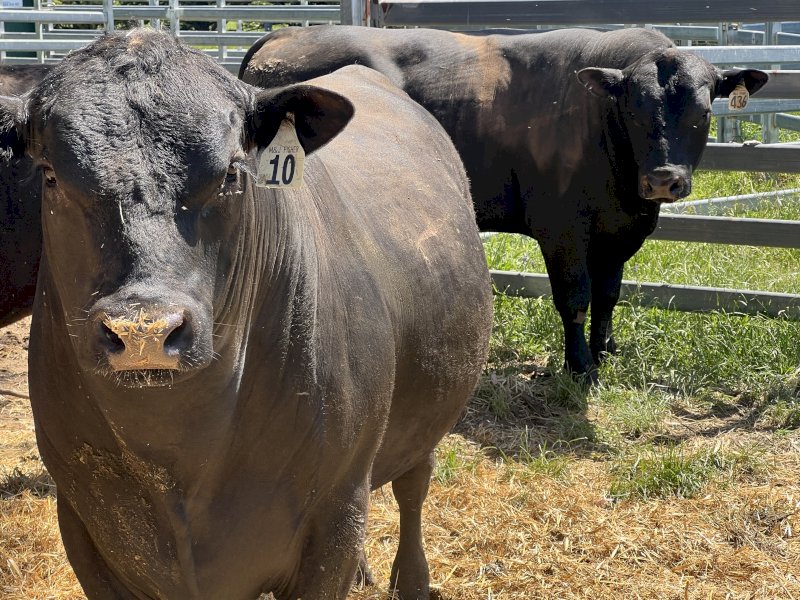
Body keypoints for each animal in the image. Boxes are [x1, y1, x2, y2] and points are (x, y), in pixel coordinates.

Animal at [0, 30, 493, 600]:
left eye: (232, 173)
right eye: (50, 176)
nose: (144, 330)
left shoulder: (335, 513)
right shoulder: (82, 524)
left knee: (414, 484)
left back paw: (411, 578)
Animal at [239, 25, 769, 380]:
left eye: (702, 112)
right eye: (633, 110)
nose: (663, 180)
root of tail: (288, 34)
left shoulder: (618, 232)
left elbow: (608, 295)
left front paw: (604, 350)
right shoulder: (562, 229)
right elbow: (575, 298)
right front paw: (579, 368)